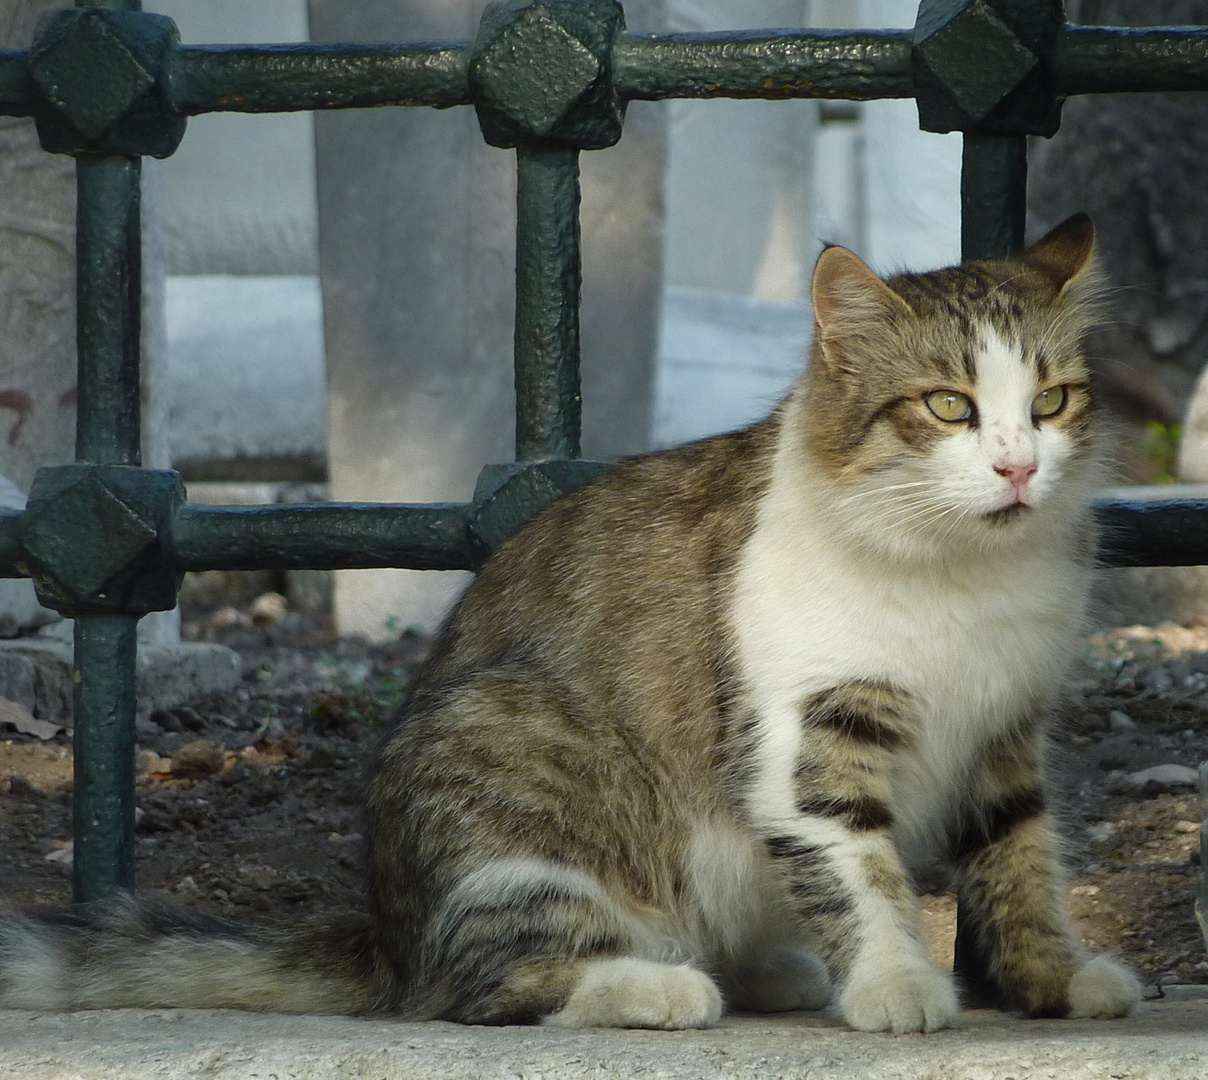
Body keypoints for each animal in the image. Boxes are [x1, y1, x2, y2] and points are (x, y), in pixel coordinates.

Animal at [0, 211, 1140, 1034]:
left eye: (1049, 403)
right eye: (948, 407)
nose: (1017, 466)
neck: (964, 579)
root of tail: (388, 934)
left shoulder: (1007, 734)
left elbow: (1019, 864)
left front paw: (1052, 979)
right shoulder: (809, 739)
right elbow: (858, 873)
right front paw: (897, 983)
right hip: (516, 771)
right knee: (477, 991)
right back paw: (654, 985)